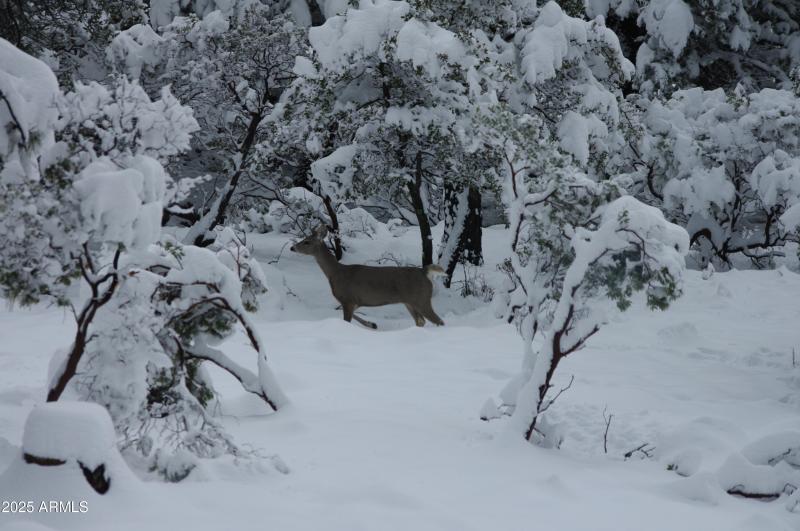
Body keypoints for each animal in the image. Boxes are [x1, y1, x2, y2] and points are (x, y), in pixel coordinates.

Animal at [290, 225, 446, 329]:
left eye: (306, 242)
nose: (292, 248)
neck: (335, 273)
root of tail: (425, 272)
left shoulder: (348, 298)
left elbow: (347, 320)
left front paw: (371, 324)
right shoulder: (354, 301)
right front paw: (371, 324)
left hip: (422, 299)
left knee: (439, 321)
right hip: (410, 302)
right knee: (421, 321)